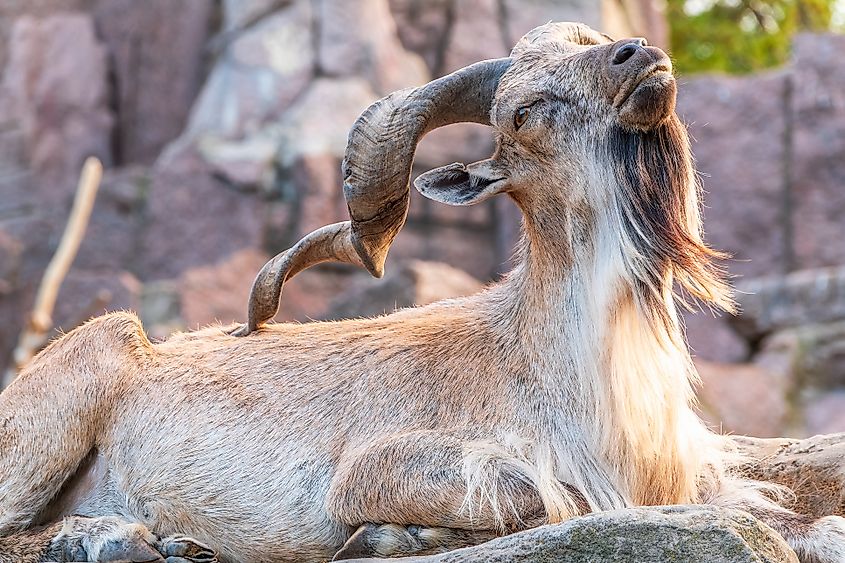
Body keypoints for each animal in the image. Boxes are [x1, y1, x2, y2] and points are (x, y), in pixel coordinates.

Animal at [1, 22, 843, 563]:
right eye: (523, 111)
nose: (636, 55)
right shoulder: (381, 466)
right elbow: (549, 496)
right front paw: (390, 537)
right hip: (74, 385)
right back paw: (113, 538)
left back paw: (174, 541)